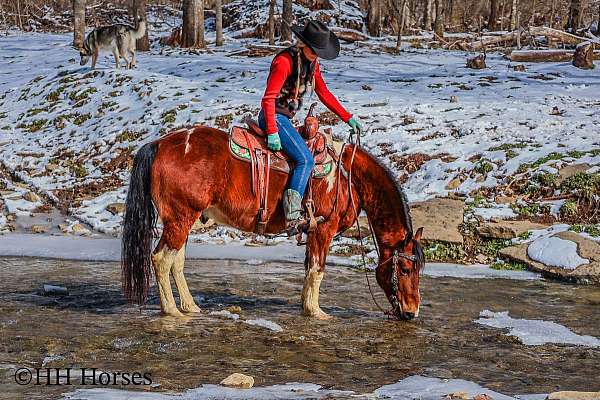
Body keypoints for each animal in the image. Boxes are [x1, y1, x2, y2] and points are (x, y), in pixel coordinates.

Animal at [119, 126, 424, 320]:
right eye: (405, 269)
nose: (412, 312)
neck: (348, 178)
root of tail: (159, 144)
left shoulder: (311, 232)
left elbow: (308, 269)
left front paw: (306, 307)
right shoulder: (324, 229)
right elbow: (318, 270)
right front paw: (317, 312)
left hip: (183, 220)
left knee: (176, 262)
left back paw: (190, 307)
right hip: (180, 219)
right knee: (161, 259)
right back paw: (171, 310)